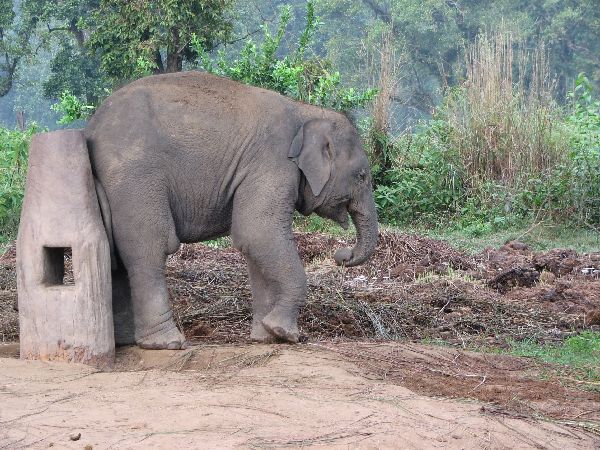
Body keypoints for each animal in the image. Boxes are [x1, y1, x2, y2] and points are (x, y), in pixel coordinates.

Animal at [84, 72, 378, 350]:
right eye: (362, 176)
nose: (342, 255)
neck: (306, 111)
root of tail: (91, 128)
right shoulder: (272, 165)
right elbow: (258, 233)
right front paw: (285, 333)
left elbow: (254, 245)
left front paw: (267, 337)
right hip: (135, 180)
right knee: (150, 247)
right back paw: (166, 343)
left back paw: (127, 342)